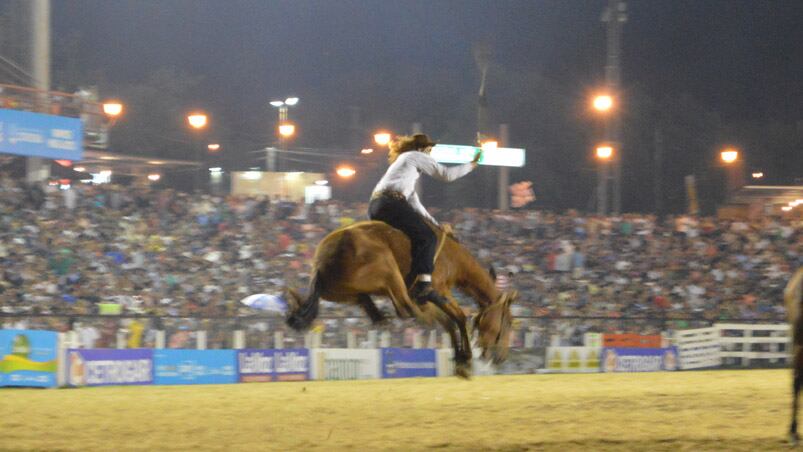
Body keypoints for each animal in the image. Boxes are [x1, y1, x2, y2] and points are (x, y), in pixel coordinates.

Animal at [286, 220, 520, 378]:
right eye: (508, 322)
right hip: (388, 268)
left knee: (379, 303)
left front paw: (461, 359)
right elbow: (459, 316)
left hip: (348, 292)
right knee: (405, 307)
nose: (501, 357)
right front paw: (465, 359)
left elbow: (449, 321)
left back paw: (383, 317)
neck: (453, 259)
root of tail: (321, 264)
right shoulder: (441, 289)